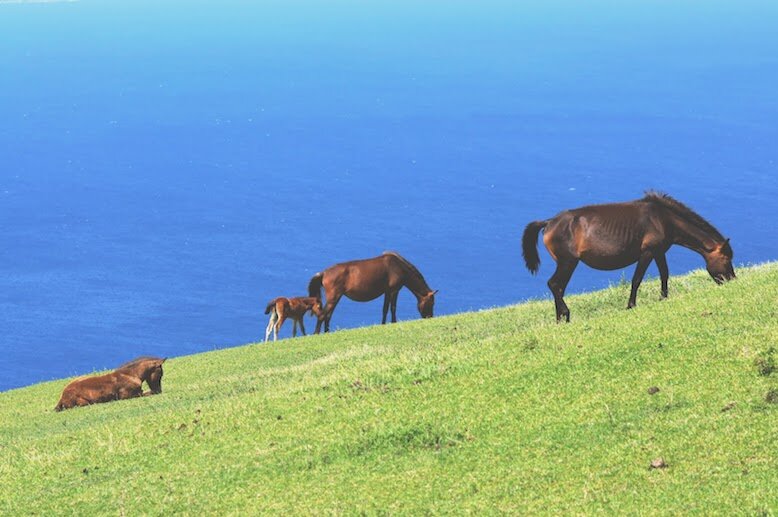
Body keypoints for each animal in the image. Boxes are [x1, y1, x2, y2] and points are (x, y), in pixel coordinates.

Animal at [306, 251, 436, 332]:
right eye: (431, 303)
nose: (430, 317)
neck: (398, 266)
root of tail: (324, 273)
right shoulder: (392, 291)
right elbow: (390, 308)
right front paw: (390, 323)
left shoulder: (389, 292)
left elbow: (387, 309)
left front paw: (386, 323)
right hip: (334, 297)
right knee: (323, 315)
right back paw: (317, 333)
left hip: (336, 297)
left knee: (328, 315)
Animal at [520, 192, 732, 322]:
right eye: (726, 259)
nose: (732, 279)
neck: (663, 218)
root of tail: (549, 222)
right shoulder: (647, 252)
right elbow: (637, 279)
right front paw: (631, 305)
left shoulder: (659, 252)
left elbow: (664, 274)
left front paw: (663, 298)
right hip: (568, 262)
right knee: (555, 284)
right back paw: (565, 314)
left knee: (558, 287)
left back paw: (560, 319)